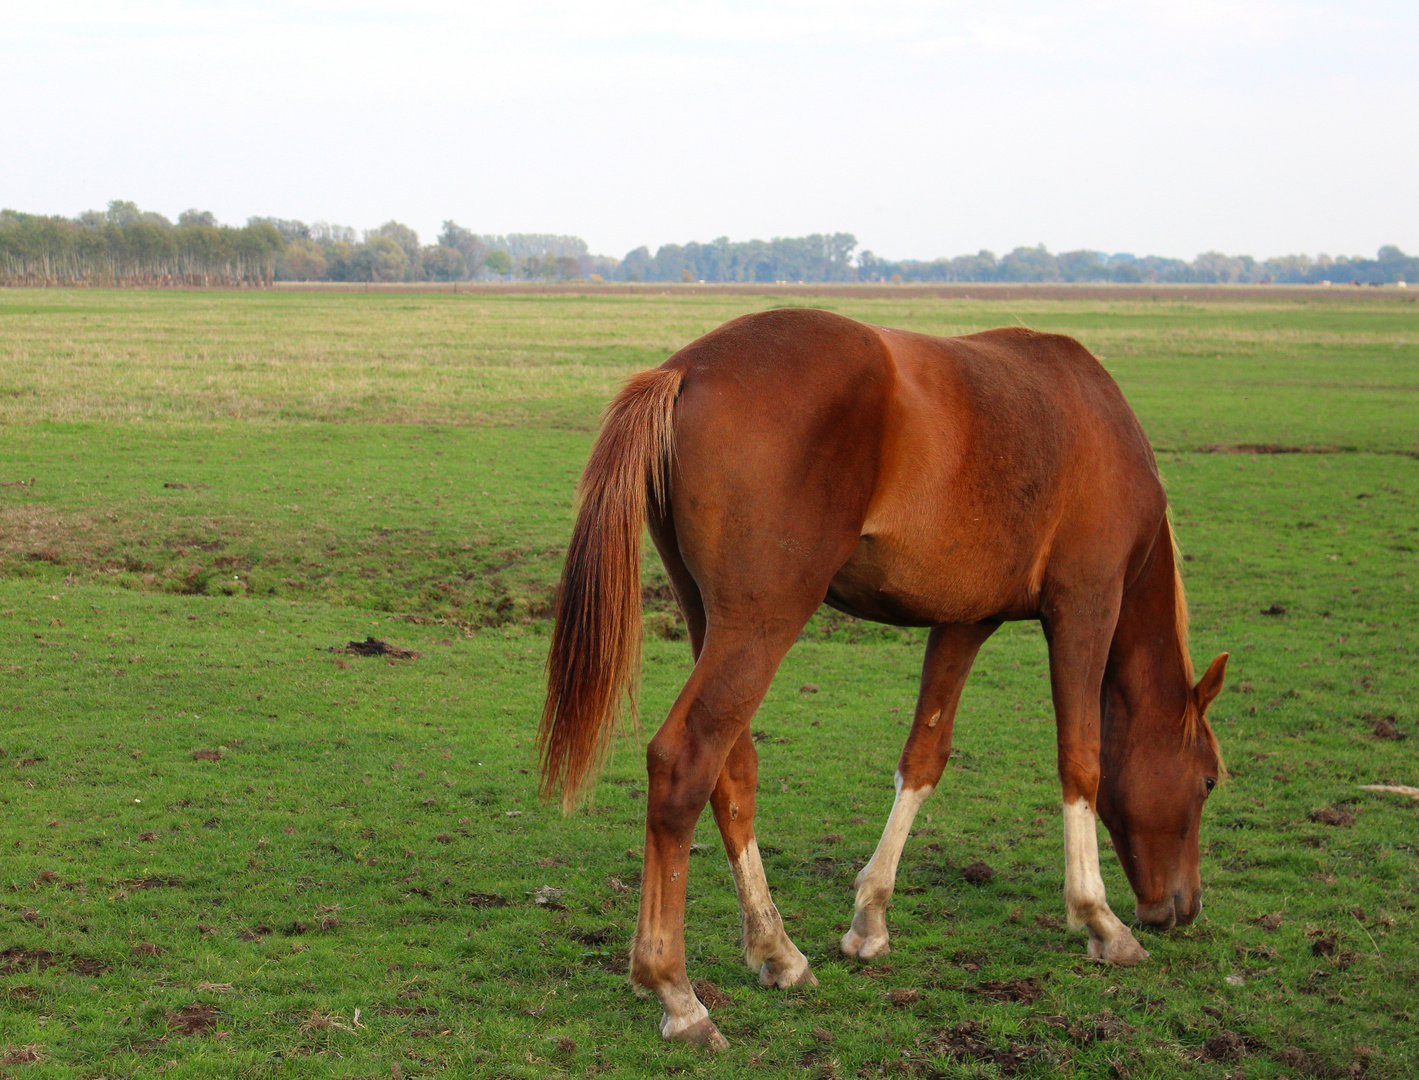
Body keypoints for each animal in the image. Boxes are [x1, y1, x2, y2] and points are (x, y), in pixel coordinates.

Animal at [536, 307, 1226, 1050]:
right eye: (1208, 782)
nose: (1182, 907)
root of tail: (686, 369)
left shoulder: (964, 621)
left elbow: (924, 758)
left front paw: (869, 918)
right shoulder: (1085, 606)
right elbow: (1082, 761)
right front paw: (1099, 920)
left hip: (709, 620)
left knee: (731, 770)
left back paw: (776, 951)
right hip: (760, 623)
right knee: (682, 762)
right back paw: (677, 992)